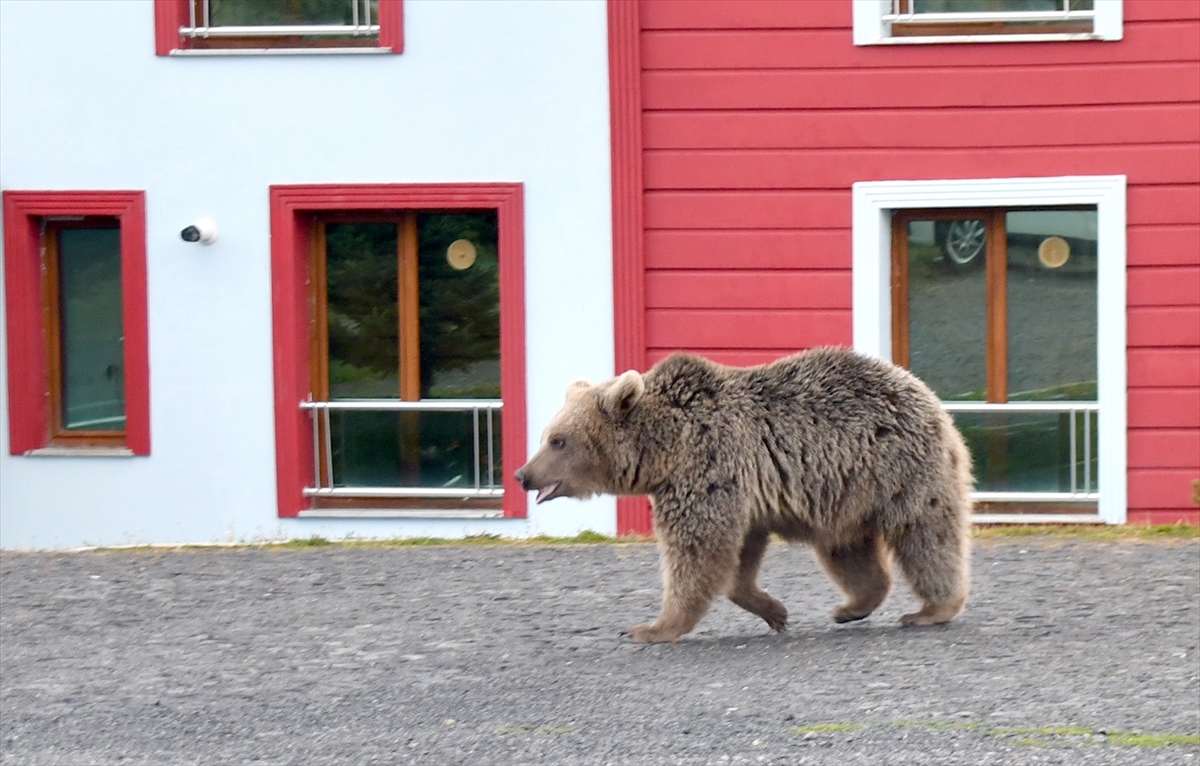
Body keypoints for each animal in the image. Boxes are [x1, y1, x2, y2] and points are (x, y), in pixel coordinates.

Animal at [516, 348, 974, 643]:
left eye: (557, 440)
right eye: (545, 436)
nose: (523, 474)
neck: (665, 448)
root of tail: (930, 397)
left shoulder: (707, 472)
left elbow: (697, 550)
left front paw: (649, 628)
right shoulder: (743, 493)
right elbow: (738, 559)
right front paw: (775, 611)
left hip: (898, 471)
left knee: (925, 536)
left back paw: (931, 609)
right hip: (842, 493)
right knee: (848, 549)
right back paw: (851, 607)